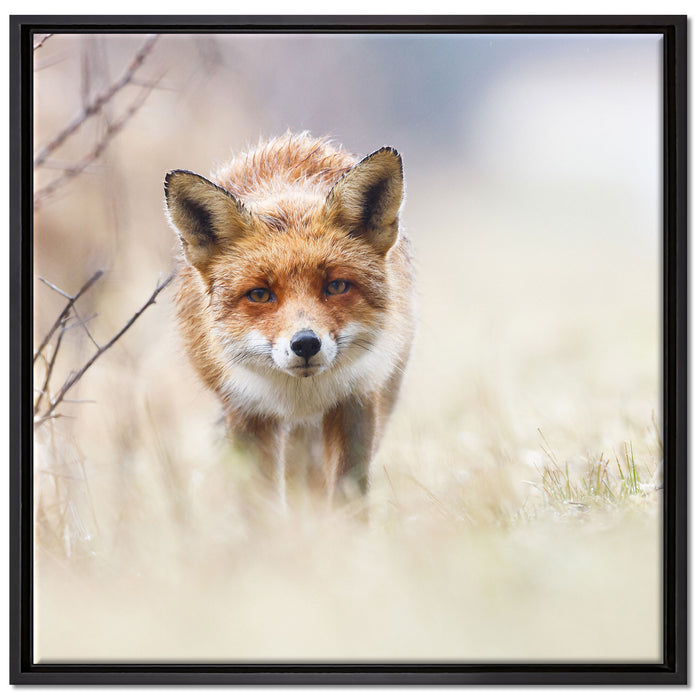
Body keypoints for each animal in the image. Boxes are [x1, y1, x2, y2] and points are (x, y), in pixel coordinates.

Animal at [164, 133, 416, 504]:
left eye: (336, 286)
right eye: (259, 294)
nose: (306, 344)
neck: (301, 396)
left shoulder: (356, 400)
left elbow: (347, 496)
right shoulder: (246, 412)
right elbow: (260, 503)